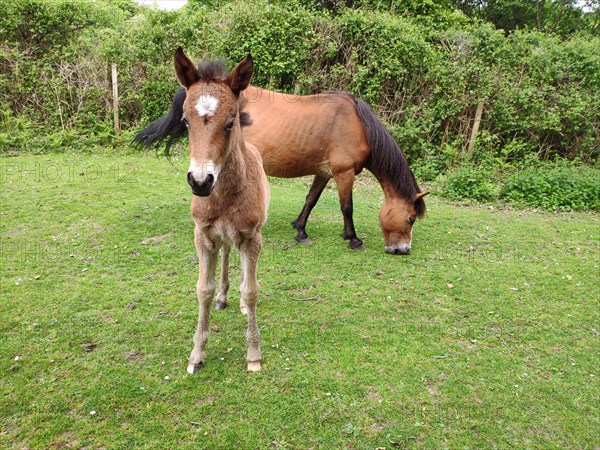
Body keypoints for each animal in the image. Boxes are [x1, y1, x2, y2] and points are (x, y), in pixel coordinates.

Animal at [136, 66, 426, 255]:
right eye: (411, 219)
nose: (403, 250)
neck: (357, 124)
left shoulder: (324, 172)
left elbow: (310, 200)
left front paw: (300, 230)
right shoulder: (343, 172)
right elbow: (347, 207)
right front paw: (353, 239)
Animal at [172, 48, 268, 372]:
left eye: (230, 122)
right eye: (185, 121)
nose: (201, 182)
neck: (225, 197)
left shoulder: (252, 238)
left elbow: (251, 290)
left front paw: (253, 355)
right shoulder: (203, 236)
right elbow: (204, 289)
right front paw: (196, 355)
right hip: (222, 238)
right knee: (227, 254)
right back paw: (224, 297)